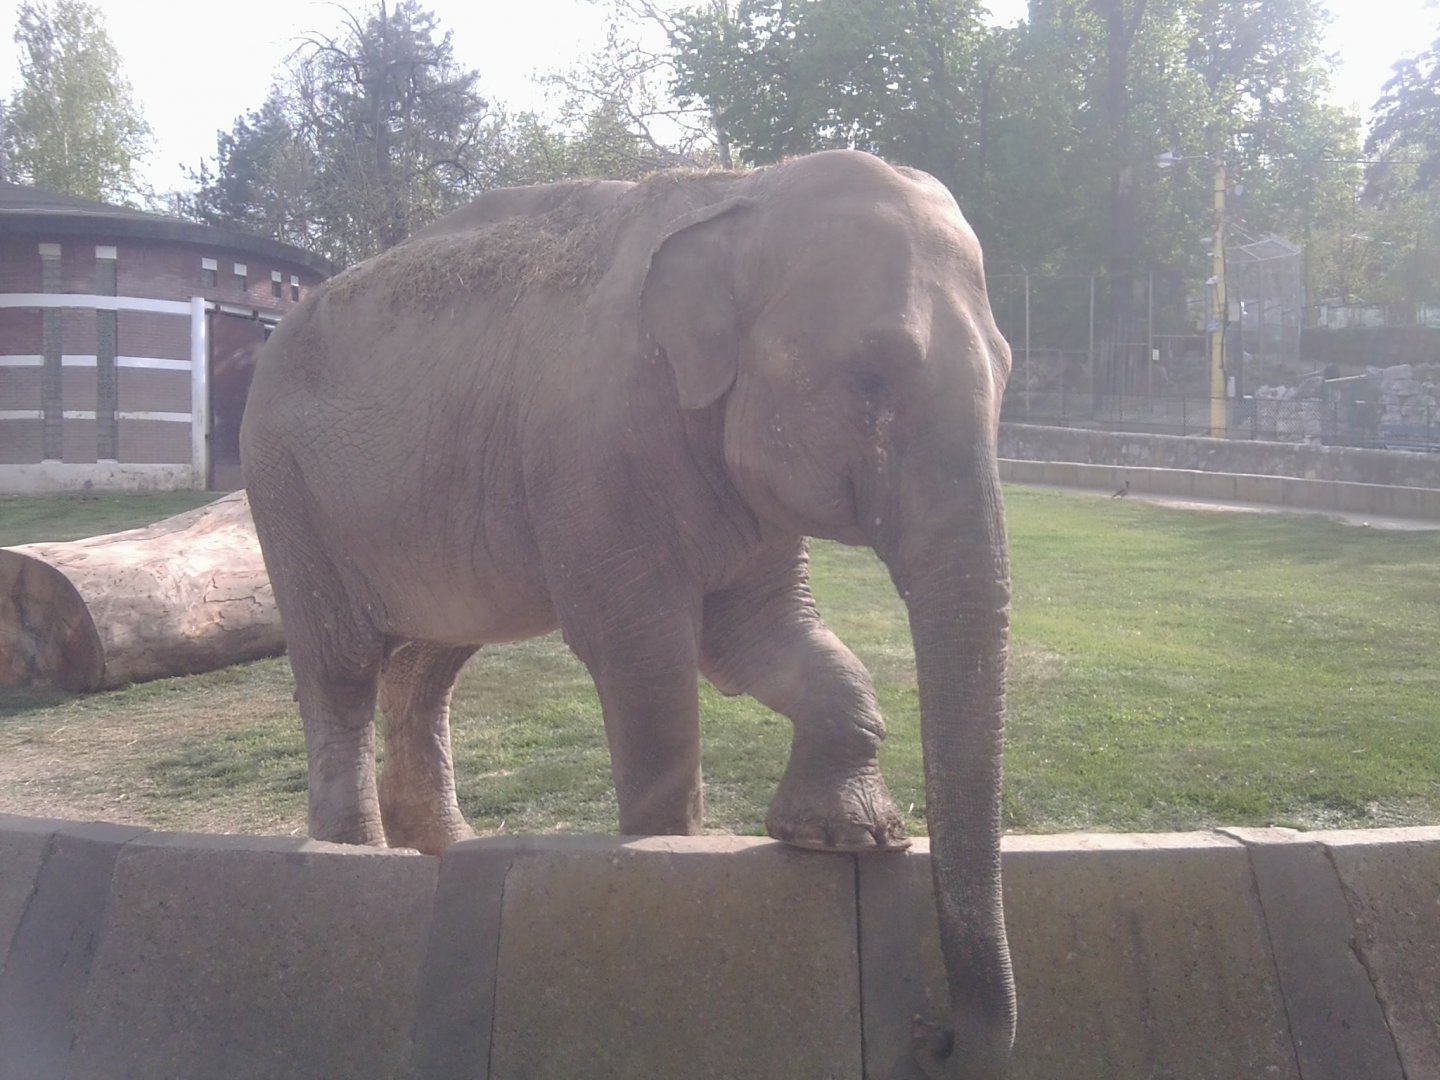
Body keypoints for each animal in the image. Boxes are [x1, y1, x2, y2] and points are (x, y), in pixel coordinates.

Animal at [240, 149, 1014, 1079]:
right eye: (872, 378)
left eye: (1008, 373)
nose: (930, 1031)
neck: (742, 192)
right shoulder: (596, 453)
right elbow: (646, 653)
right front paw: (672, 852)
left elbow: (761, 638)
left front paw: (847, 838)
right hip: (287, 490)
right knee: (343, 670)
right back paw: (355, 858)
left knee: (430, 664)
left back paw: (449, 849)